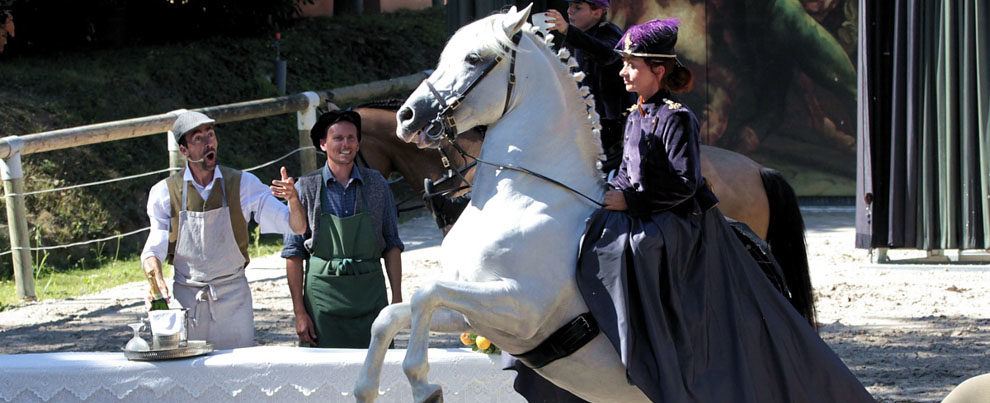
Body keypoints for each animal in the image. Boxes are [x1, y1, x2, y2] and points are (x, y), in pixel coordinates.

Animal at [354, 3, 652, 403]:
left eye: (473, 58)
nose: (407, 117)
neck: (524, 194)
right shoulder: (474, 314)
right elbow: (394, 313)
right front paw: (366, 388)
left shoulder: (521, 308)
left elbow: (425, 294)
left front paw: (422, 383)